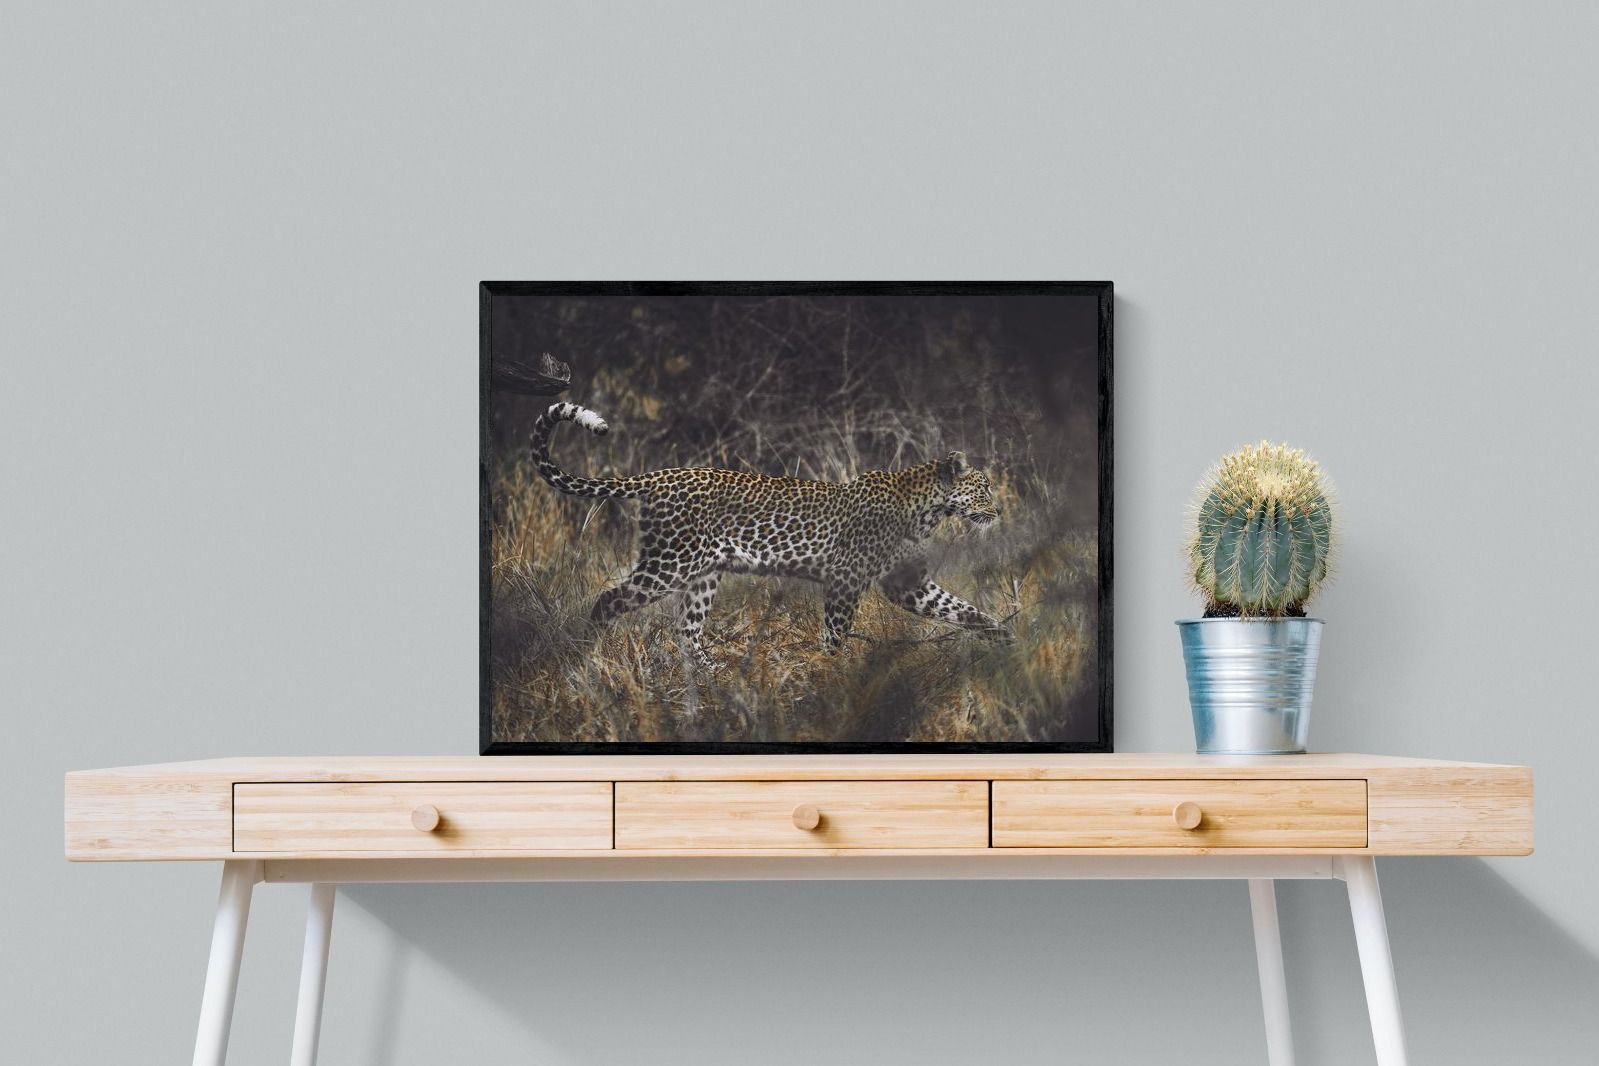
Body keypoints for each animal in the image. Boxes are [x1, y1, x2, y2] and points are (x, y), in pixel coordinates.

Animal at [531, 400, 1010, 666]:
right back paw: (587, 656)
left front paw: (1004, 637)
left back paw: (712, 676)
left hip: (703, 573)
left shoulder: (906, 584)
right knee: (609, 600)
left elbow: (960, 609)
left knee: (686, 629)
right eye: (984, 487)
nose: (1000, 510)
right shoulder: (847, 579)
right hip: (670, 563)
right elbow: (836, 632)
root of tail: (658, 475)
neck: (928, 510)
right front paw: (830, 674)